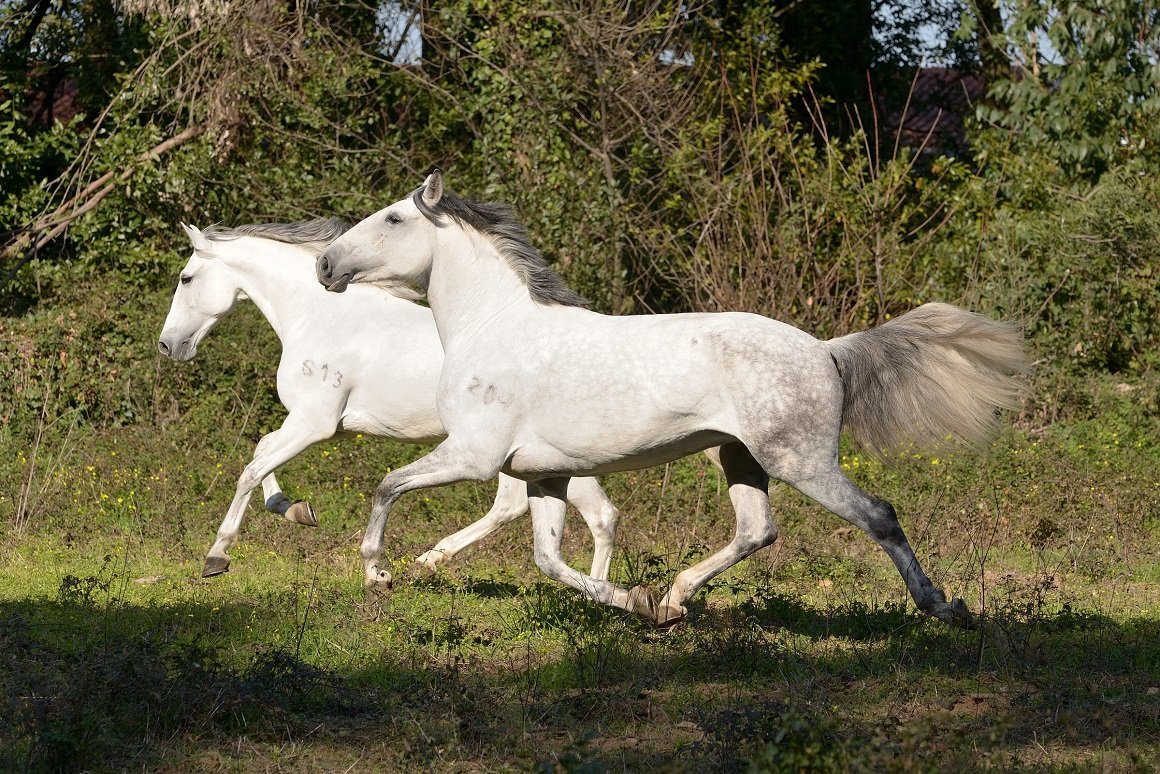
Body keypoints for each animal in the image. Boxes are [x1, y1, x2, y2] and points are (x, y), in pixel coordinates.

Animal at [161, 220, 626, 584]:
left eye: (186, 278)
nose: (169, 346)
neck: (320, 316)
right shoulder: (318, 424)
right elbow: (262, 451)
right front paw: (297, 511)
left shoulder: (314, 423)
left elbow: (250, 471)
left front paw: (217, 556)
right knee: (579, 512)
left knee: (574, 512)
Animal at [313, 170, 1030, 631]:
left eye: (394, 219)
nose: (325, 265)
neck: (494, 326)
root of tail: (826, 349)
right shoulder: (542, 474)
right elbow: (550, 560)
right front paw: (640, 604)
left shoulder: (471, 456)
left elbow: (387, 485)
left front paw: (378, 574)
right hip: (738, 459)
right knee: (757, 530)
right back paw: (679, 596)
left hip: (800, 461)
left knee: (879, 515)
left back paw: (945, 608)